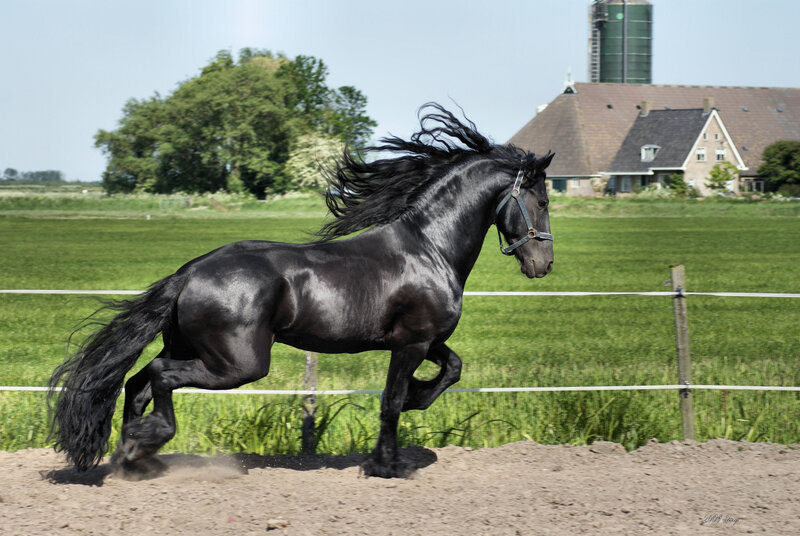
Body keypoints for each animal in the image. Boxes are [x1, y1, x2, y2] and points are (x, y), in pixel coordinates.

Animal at [48, 103, 554, 479]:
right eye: (542, 199)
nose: (543, 264)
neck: (430, 247)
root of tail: (188, 274)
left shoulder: (425, 340)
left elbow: (451, 368)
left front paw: (413, 404)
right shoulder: (411, 342)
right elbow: (392, 401)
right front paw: (385, 464)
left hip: (190, 346)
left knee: (138, 380)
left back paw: (132, 456)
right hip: (240, 364)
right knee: (160, 376)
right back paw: (149, 440)